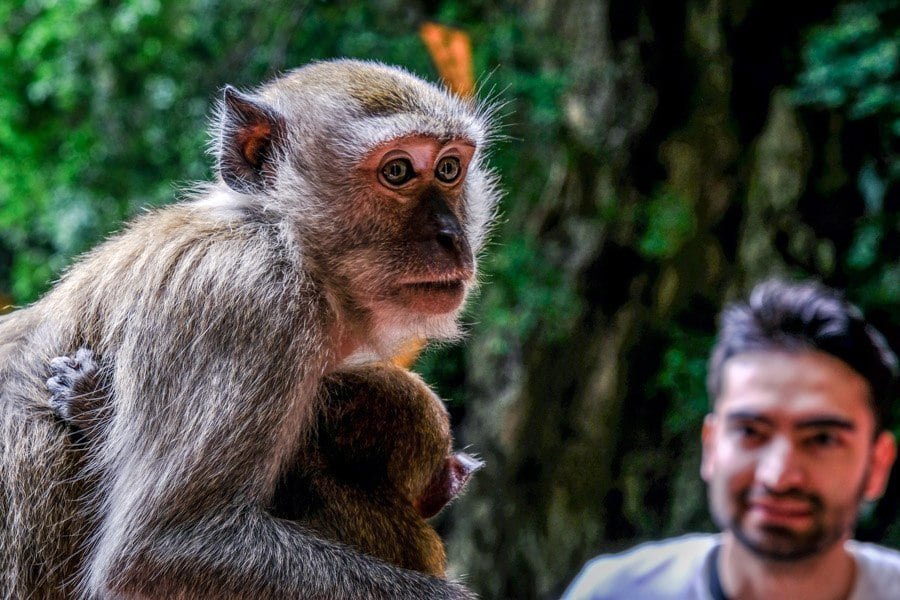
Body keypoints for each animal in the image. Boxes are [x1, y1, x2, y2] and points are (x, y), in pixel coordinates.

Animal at [0, 62, 500, 600]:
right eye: (399, 171)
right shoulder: (248, 304)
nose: (452, 237)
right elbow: (159, 550)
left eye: (449, 169)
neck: (281, 236)